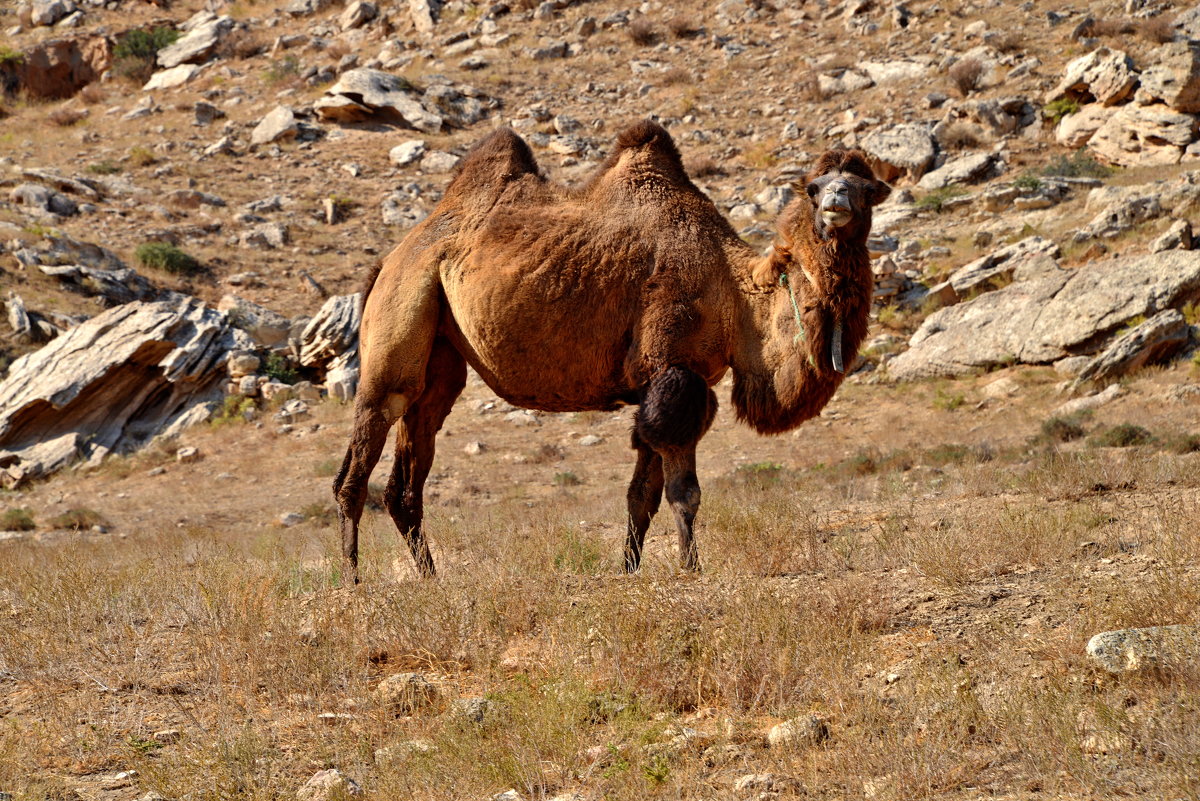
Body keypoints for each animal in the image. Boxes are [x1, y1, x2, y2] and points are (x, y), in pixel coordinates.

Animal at [333, 118, 888, 577]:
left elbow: (641, 495)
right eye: (814, 189)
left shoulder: (662, 382)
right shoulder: (673, 371)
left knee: (409, 469)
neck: (736, 294)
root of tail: (389, 259)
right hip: (401, 314)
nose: (836, 204)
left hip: (442, 353)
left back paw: (431, 578)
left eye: (867, 190)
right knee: (362, 457)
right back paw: (354, 581)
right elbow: (683, 491)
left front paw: (630, 569)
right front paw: (691, 568)